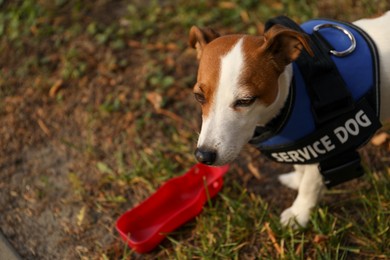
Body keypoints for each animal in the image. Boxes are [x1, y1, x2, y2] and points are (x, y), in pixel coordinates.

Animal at [187, 12, 388, 228]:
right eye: (199, 96)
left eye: (245, 101)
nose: (203, 156)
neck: (294, 88)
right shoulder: (302, 146)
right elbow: (301, 166)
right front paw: (297, 179)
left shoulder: (324, 145)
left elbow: (310, 184)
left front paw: (299, 214)